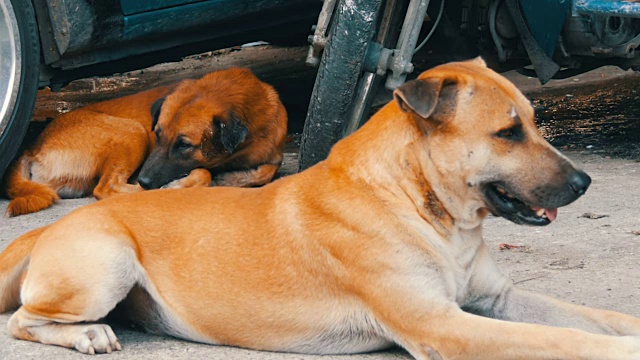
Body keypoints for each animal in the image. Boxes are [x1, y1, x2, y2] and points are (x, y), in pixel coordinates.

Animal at [2, 68, 288, 217]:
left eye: (184, 145)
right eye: (158, 135)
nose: (145, 180)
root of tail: (32, 147)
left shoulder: (272, 152)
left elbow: (267, 169)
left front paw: (234, 178)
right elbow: (205, 173)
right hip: (133, 132)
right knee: (107, 189)